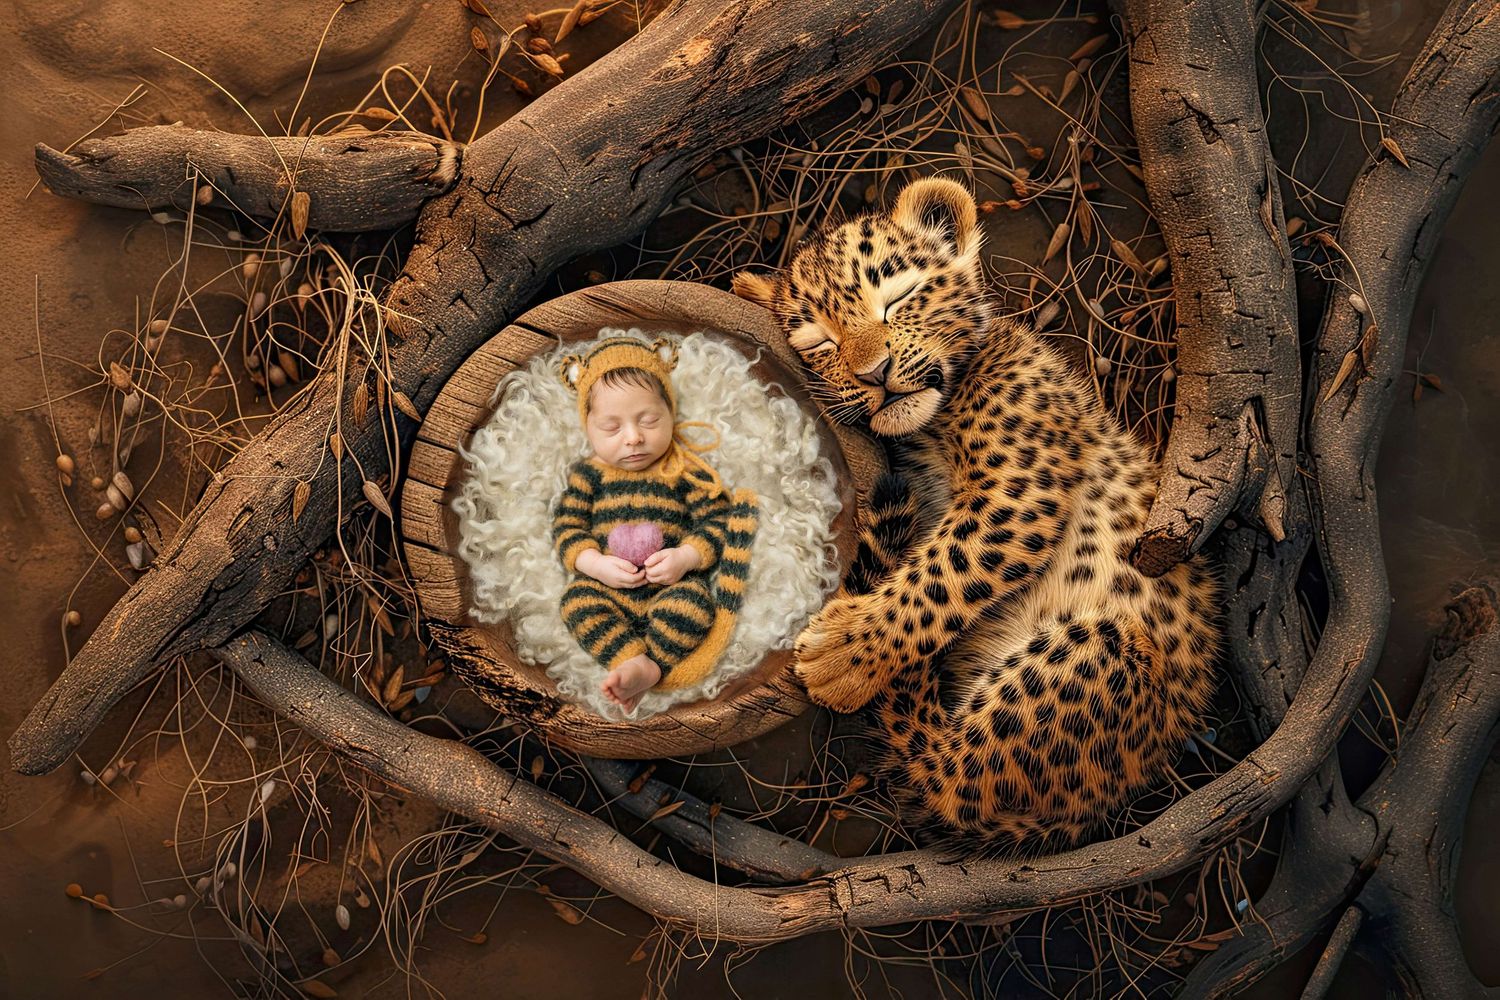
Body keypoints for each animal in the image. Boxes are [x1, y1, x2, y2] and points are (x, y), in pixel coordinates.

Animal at [732, 176, 1220, 851]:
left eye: (899, 297)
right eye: (819, 343)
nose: (875, 373)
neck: (930, 428)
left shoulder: (1019, 484)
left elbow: (947, 568)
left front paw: (844, 655)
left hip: (1102, 654)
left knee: (944, 767)